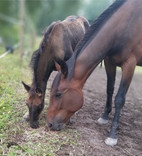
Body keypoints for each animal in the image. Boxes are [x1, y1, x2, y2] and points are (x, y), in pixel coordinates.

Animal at [47, 0, 142, 146]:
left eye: (58, 94)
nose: (50, 124)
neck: (126, 25)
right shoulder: (109, 61)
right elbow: (109, 89)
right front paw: (104, 117)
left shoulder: (129, 65)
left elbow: (119, 99)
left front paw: (112, 135)